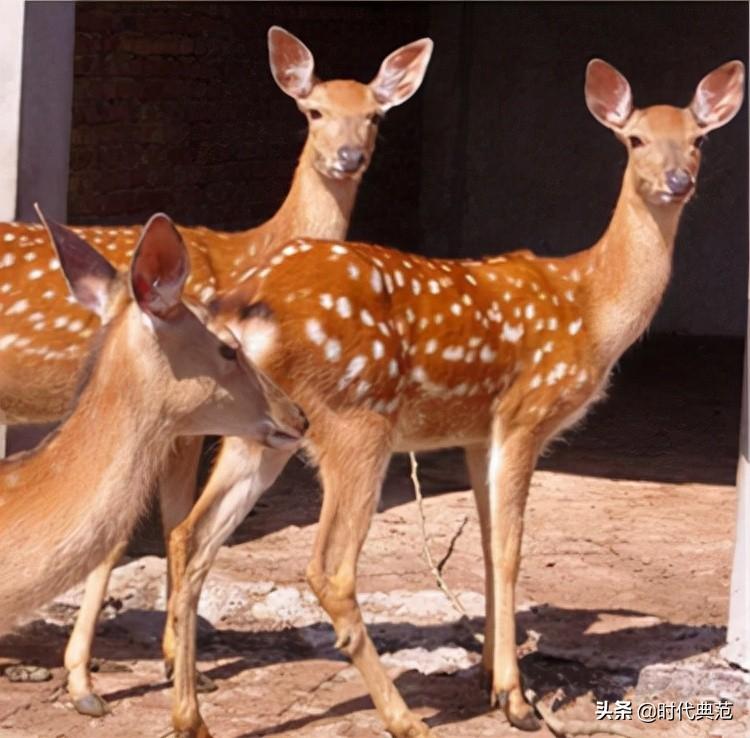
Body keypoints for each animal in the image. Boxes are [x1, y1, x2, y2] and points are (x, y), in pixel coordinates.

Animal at [144, 59, 744, 736]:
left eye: (698, 139)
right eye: (636, 138)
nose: (677, 180)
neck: (590, 311)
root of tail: (242, 303)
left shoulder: (477, 432)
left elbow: (485, 545)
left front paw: (488, 676)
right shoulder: (524, 414)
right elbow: (510, 549)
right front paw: (515, 698)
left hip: (263, 430)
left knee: (191, 538)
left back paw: (190, 714)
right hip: (355, 419)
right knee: (328, 569)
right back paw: (403, 716)